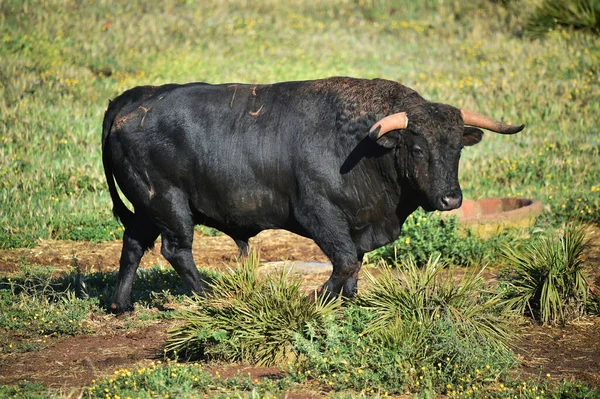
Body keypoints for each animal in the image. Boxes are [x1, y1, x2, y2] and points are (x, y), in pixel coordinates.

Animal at [101, 76, 524, 312]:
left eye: (457, 150)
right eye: (418, 149)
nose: (451, 199)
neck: (361, 144)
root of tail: (135, 101)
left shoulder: (358, 225)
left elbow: (355, 262)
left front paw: (350, 302)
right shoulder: (319, 214)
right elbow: (346, 261)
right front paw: (317, 298)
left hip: (146, 208)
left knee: (133, 244)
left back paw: (122, 304)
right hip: (169, 204)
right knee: (176, 250)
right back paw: (210, 296)